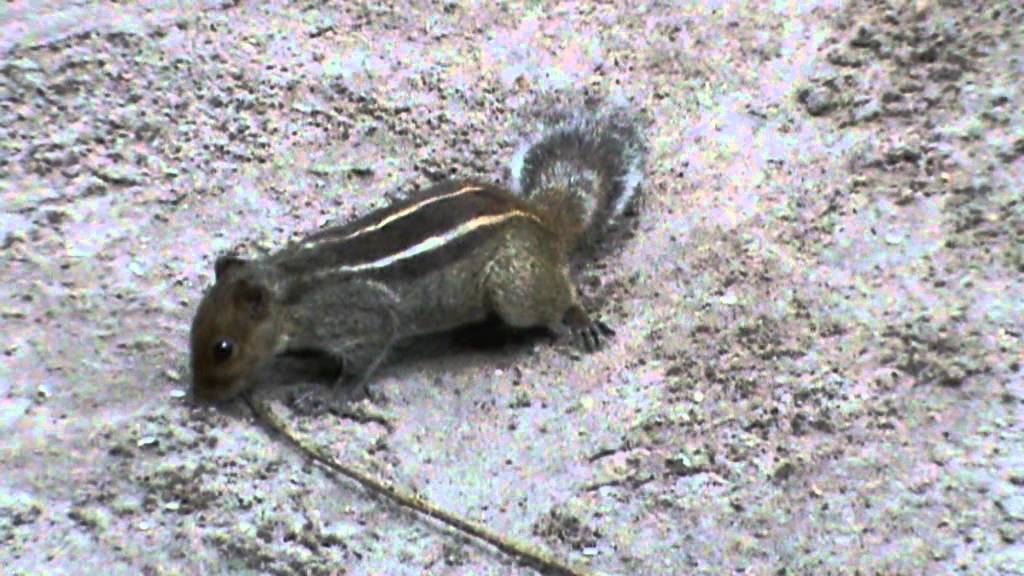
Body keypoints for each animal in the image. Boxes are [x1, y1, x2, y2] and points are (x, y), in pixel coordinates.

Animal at [189, 103, 647, 402]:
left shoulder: (366, 318)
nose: (199, 396)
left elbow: (362, 362)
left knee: (559, 297)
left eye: (223, 349)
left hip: (515, 287)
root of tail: (540, 217)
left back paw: (579, 320)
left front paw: (327, 396)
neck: (291, 289)